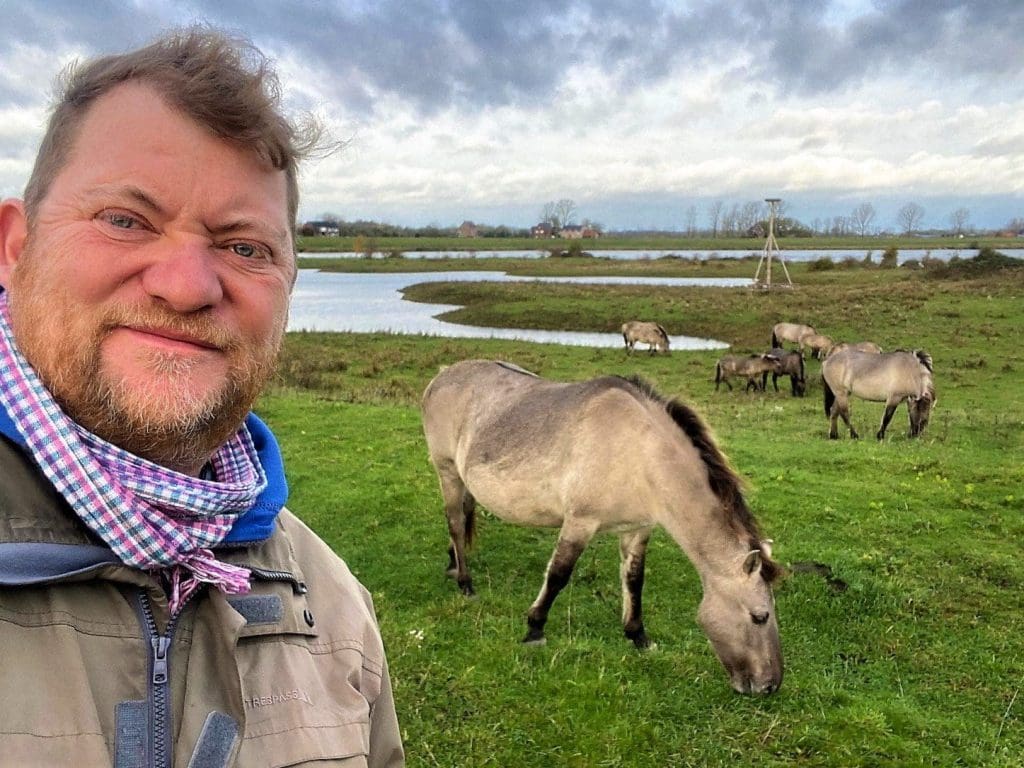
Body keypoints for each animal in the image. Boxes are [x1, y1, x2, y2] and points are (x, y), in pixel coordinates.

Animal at [419, 360, 778, 696]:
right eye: (760, 616)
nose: (770, 685)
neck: (640, 453)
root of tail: (442, 376)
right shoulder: (580, 522)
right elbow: (558, 574)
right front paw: (535, 628)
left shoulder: (637, 530)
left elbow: (634, 580)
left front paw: (638, 635)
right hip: (446, 471)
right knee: (455, 522)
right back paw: (465, 583)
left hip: (464, 480)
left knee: (463, 517)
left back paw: (453, 564)